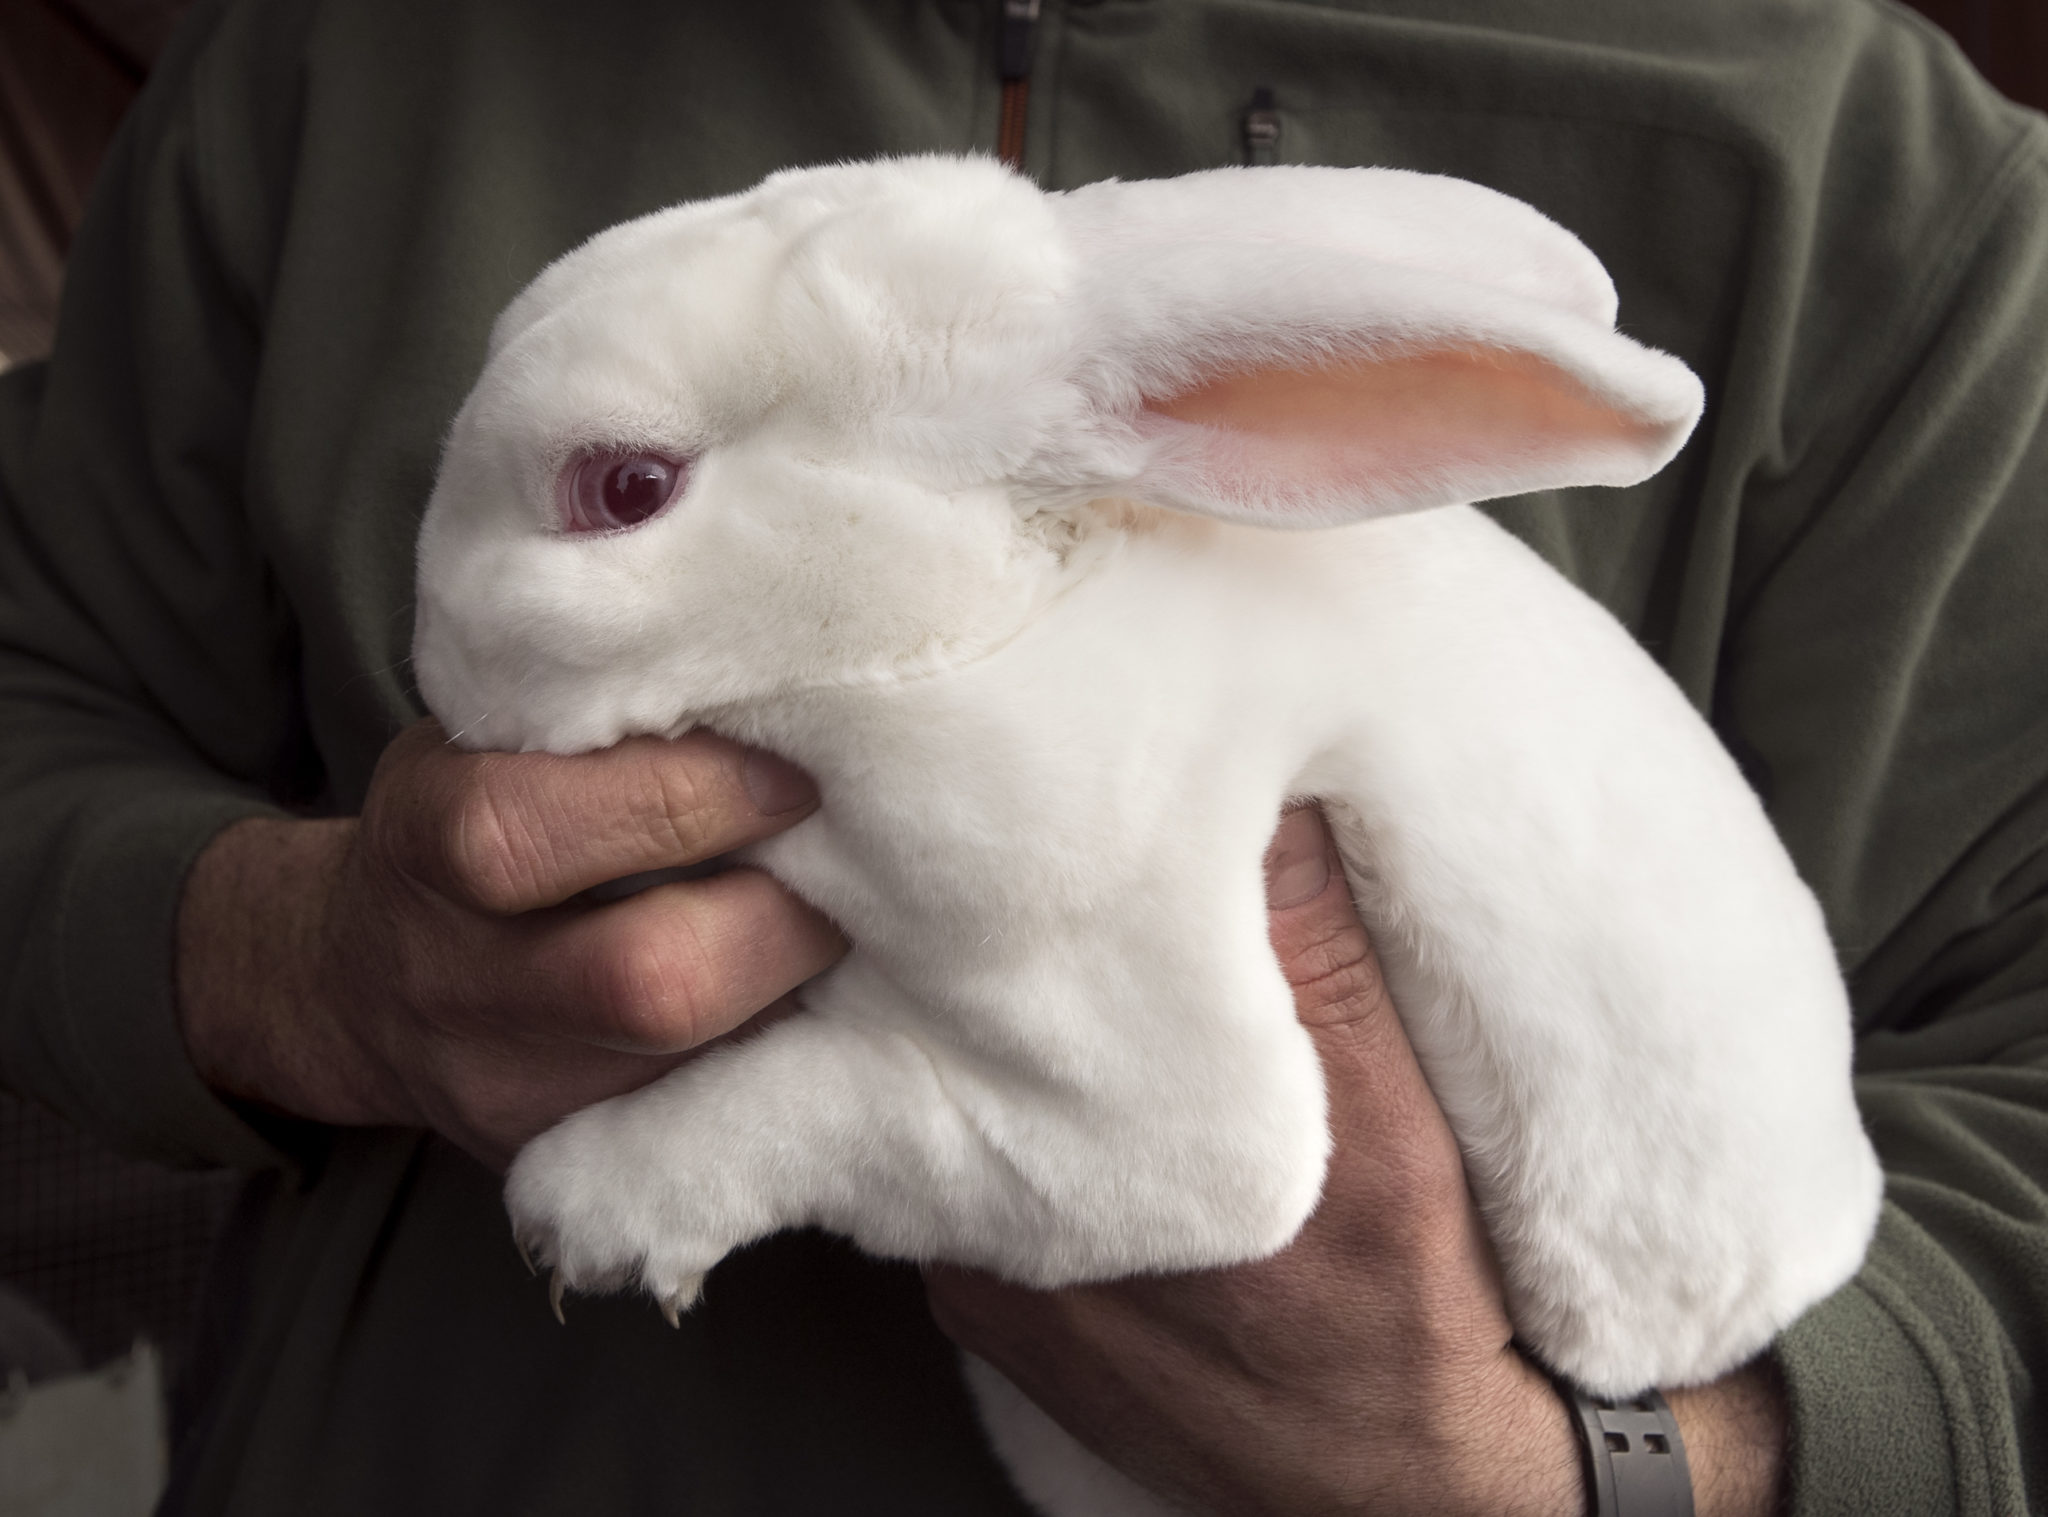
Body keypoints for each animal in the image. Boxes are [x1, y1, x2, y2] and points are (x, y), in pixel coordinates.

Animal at [407, 156, 1875, 1514]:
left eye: (626, 486)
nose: (431, 655)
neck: (988, 624)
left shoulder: (1147, 1115)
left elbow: (836, 1103)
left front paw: (583, 1212)